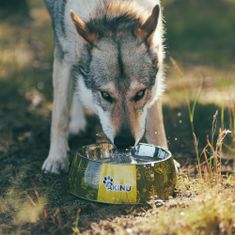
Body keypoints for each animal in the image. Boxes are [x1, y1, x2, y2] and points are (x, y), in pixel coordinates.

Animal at [42, 0, 169, 173]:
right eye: (105, 95)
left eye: (140, 94)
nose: (124, 141)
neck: (112, 9)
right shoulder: (64, 58)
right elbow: (59, 117)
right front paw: (56, 158)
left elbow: (156, 123)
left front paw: (165, 155)